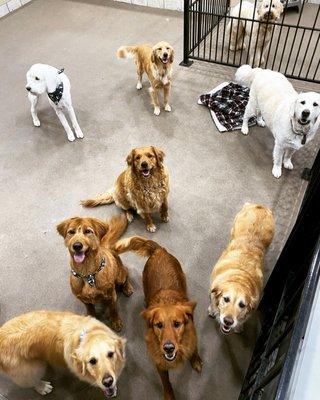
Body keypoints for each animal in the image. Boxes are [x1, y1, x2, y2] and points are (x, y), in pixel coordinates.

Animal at [115, 236, 202, 400]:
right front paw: (169, 395)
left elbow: (194, 349)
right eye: (158, 325)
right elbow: (166, 382)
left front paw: (196, 361)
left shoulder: (192, 335)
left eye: (177, 324)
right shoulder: (159, 362)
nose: (168, 348)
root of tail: (159, 250)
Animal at [208, 203, 276, 334]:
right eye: (226, 299)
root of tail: (260, 206)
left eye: (242, 305)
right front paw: (212, 311)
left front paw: (238, 326)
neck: (240, 279)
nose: (228, 321)